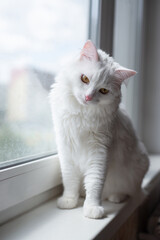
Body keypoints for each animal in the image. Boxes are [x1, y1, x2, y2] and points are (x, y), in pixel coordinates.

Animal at [49, 40, 149, 218]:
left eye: (103, 90)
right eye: (85, 79)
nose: (88, 97)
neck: (81, 114)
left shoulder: (100, 151)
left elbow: (95, 182)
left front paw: (92, 208)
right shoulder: (66, 147)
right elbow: (69, 179)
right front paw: (69, 200)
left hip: (138, 166)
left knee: (125, 191)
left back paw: (116, 197)